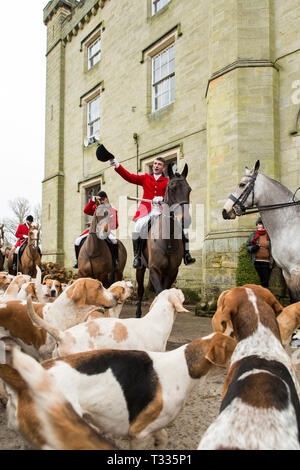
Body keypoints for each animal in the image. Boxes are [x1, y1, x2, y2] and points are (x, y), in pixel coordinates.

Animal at [136, 163, 192, 318]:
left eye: (189, 190)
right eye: (171, 188)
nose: (185, 220)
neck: (168, 240)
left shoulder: (172, 271)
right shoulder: (154, 269)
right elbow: (160, 293)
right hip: (141, 268)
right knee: (140, 290)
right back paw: (138, 313)